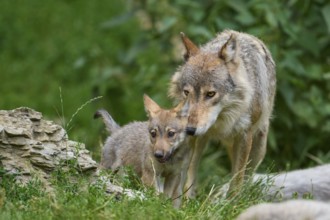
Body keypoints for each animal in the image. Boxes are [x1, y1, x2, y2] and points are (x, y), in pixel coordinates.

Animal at [170, 30, 276, 197]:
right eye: (187, 93)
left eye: (210, 94)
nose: (190, 129)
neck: (221, 122)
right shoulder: (193, 138)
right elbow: (189, 176)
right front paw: (185, 201)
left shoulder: (244, 135)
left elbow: (237, 180)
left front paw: (232, 202)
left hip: (259, 147)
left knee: (247, 176)